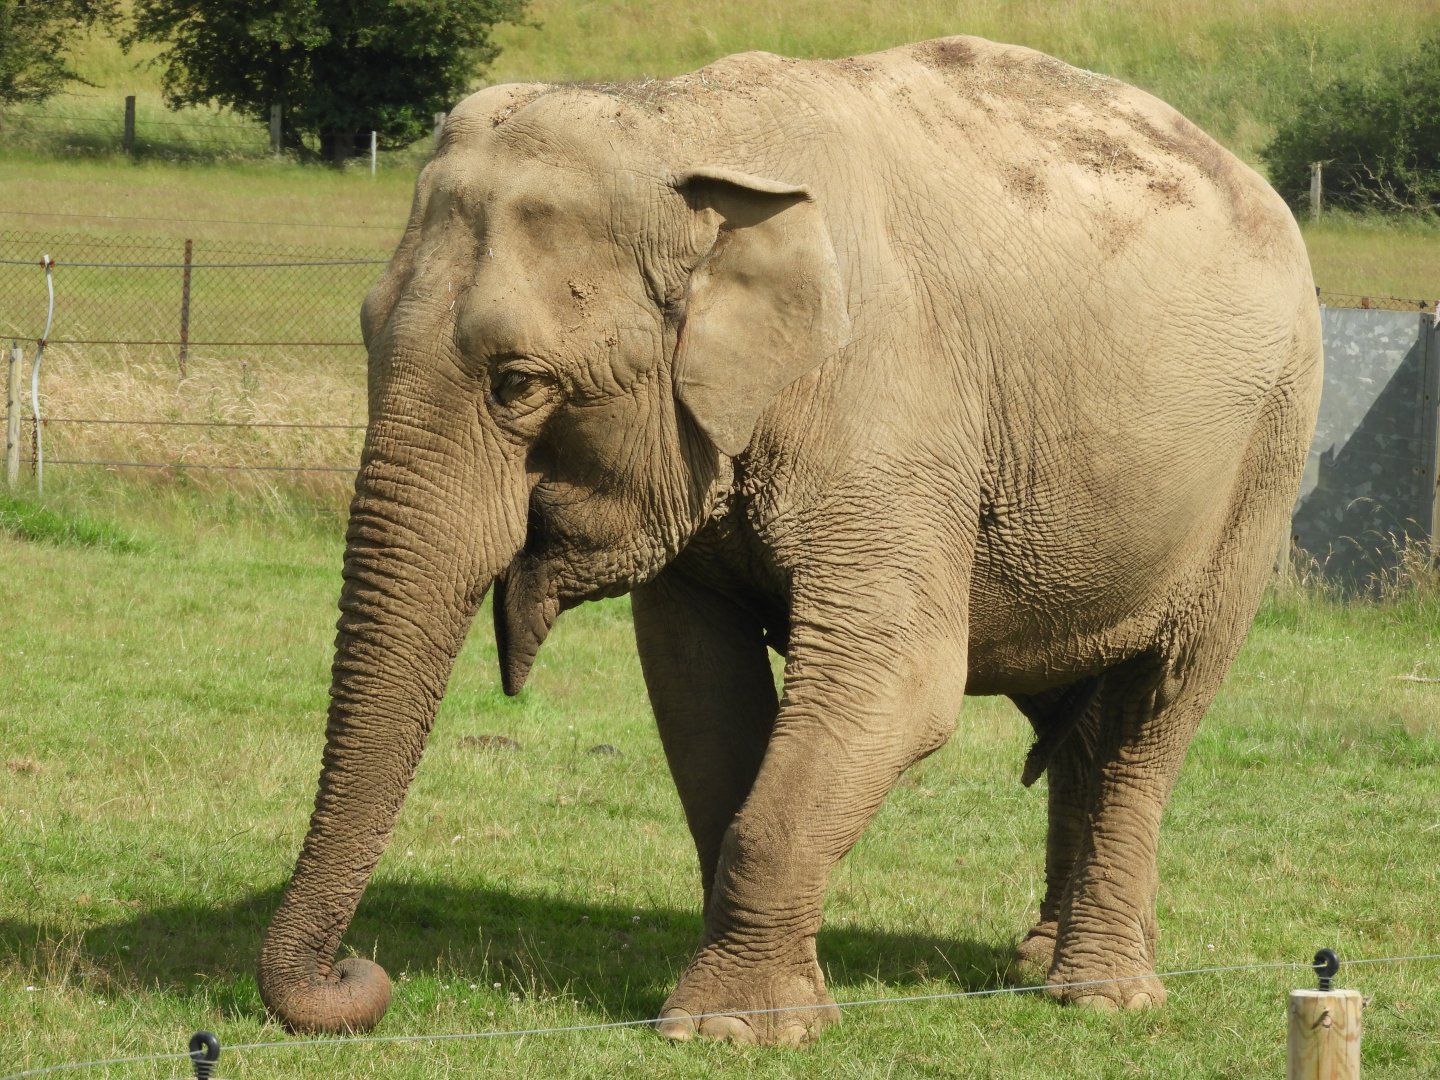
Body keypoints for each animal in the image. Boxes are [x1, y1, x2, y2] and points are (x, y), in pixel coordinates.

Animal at [257, 35, 1323, 1046]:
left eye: (518, 382)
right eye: (363, 334)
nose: (361, 976)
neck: (682, 122)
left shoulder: (892, 400)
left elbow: (898, 681)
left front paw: (730, 1029)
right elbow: (696, 685)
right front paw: (764, 1007)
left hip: (1265, 453)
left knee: (1159, 704)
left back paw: (1101, 998)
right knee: (1087, 713)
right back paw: (1041, 960)